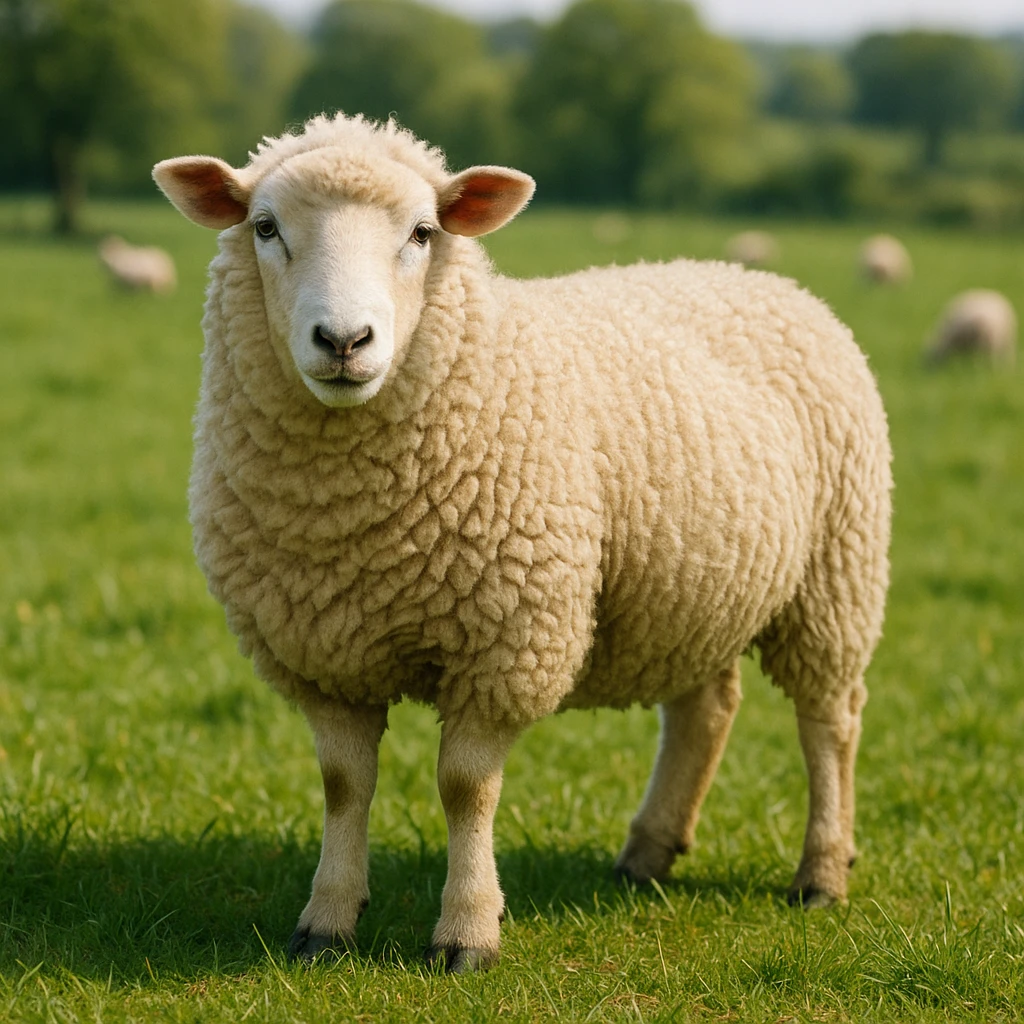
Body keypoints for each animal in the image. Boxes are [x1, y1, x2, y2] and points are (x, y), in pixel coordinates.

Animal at [152, 113, 892, 973]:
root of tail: (763, 279)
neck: (356, 526)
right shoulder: (323, 652)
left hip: (836, 574)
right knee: (705, 711)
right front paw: (326, 923)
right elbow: (343, 783)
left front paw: (467, 934)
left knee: (830, 721)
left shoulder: (505, 638)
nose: (343, 340)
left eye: (424, 232)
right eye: (265, 228)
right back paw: (648, 853)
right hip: (692, 586)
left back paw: (822, 873)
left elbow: (466, 787)